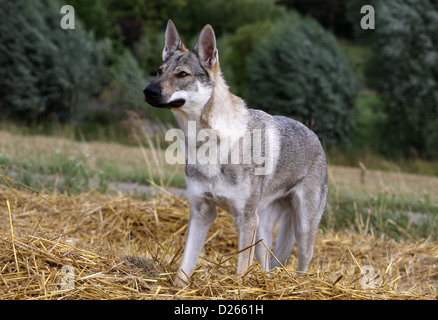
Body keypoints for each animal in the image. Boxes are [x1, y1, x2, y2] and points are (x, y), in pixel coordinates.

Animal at [145, 19, 328, 284]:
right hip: (262, 230)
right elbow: (184, 267)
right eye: (160, 71)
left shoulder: (245, 219)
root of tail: (313, 134)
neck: (208, 142)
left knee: (302, 265)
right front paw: (178, 288)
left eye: (182, 74)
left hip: (301, 231)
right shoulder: (201, 213)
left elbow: (241, 271)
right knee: (266, 265)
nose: (148, 91)